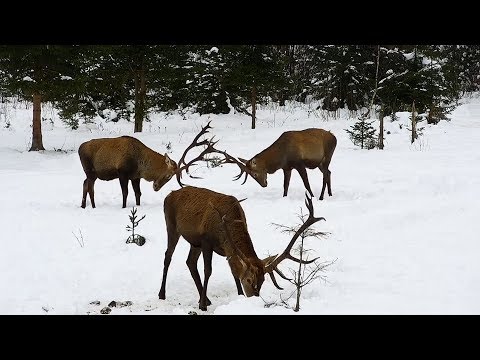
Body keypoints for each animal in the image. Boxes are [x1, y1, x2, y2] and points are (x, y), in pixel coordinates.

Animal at [79, 121, 219, 208]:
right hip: (90, 169)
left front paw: (138, 205)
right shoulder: (122, 172)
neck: (140, 164)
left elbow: (138, 193)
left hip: (92, 173)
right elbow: (125, 193)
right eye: (169, 175)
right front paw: (124, 207)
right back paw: (93, 206)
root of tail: (80, 148)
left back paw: (83, 205)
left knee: (85, 184)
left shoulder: (135, 176)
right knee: (90, 187)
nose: (156, 187)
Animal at [159, 186, 324, 310]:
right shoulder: (206, 241)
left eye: (263, 281)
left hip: (194, 243)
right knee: (168, 256)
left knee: (190, 262)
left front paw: (239, 296)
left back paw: (205, 298)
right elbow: (208, 271)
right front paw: (202, 307)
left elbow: (234, 272)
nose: (254, 298)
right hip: (171, 225)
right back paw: (162, 294)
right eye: (250, 280)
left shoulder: (227, 250)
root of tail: (169, 195)